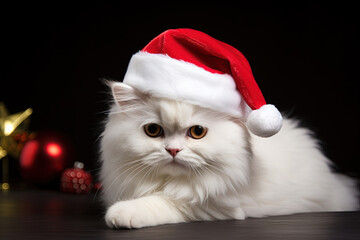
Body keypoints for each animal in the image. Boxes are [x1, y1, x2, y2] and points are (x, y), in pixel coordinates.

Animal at [100, 81, 358, 229]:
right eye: (153, 131)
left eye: (197, 132)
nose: (173, 150)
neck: (170, 182)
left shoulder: (214, 206)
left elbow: (163, 202)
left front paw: (121, 214)